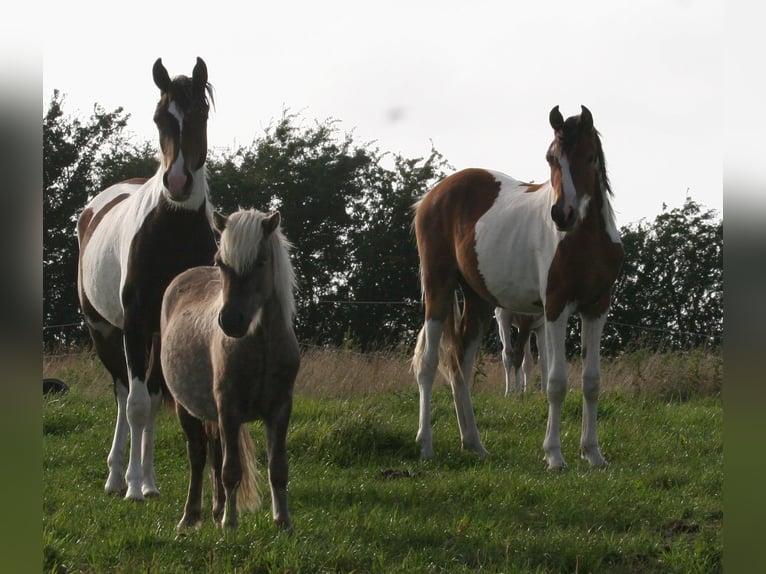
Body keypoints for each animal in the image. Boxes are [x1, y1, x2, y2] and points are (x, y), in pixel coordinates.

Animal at [77, 57, 219, 500]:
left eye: (201, 114)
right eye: (160, 117)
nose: (177, 183)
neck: (172, 229)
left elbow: (157, 402)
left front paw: (146, 483)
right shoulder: (136, 324)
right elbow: (136, 404)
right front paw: (132, 488)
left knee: (151, 395)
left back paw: (149, 481)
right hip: (104, 330)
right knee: (124, 394)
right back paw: (117, 477)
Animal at [161, 209, 300, 532]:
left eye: (260, 261)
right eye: (222, 263)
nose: (230, 321)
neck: (261, 347)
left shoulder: (280, 409)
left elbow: (278, 468)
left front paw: (283, 522)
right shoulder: (229, 408)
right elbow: (232, 470)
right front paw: (230, 523)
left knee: (214, 455)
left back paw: (216, 510)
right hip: (187, 410)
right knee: (198, 457)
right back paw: (191, 516)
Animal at [414, 106, 624, 470]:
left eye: (589, 156)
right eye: (551, 157)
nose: (562, 215)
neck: (584, 238)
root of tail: (432, 196)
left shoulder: (597, 307)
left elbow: (591, 382)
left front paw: (593, 454)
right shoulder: (555, 307)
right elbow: (556, 382)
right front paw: (554, 455)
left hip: (479, 301)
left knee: (460, 365)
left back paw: (473, 443)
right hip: (438, 289)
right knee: (428, 365)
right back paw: (426, 445)